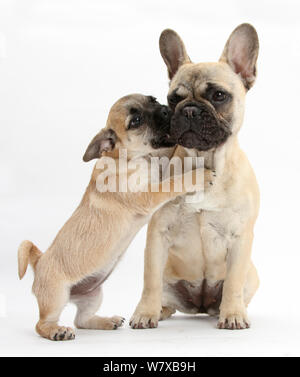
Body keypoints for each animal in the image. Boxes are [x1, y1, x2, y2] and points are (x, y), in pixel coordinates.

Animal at [17, 93, 213, 338]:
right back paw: (57, 331)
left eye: (152, 100)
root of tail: (40, 260)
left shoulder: (159, 164)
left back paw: (106, 321)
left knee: (82, 319)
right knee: (42, 324)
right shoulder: (149, 194)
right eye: (136, 121)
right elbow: (172, 183)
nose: (166, 110)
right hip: (56, 297)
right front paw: (198, 176)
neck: (130, 157)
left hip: (93, 295)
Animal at [131, 24, 260, 328]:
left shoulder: (240, 238)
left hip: (252, 276)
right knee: (163, 293)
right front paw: (145, 313)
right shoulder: (158, 234)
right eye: (173, 99)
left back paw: (233, 309)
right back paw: (160, 310)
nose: (188, 109)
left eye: (219, 96)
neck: (205, 160)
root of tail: (200, 305)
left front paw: (233, 314)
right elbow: (149, 280)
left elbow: (234, 281)